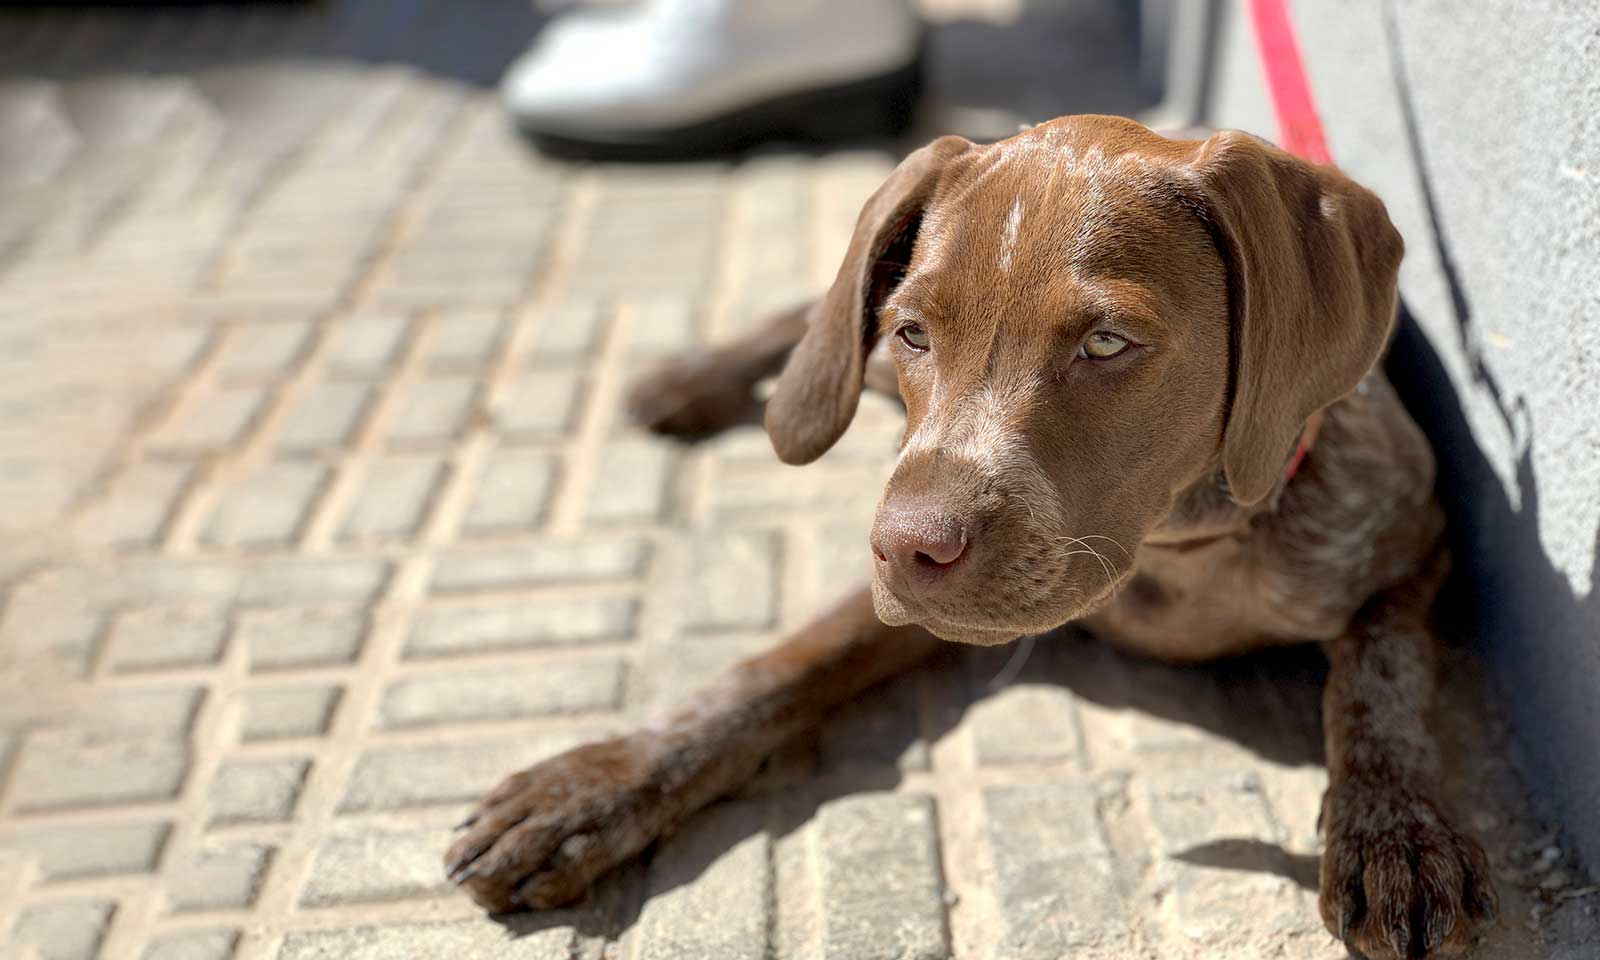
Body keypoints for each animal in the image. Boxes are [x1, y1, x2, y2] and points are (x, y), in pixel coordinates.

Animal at [444, 116, 1491, 953]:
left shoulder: (1417, 543)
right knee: (813, 326)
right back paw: (693, 379)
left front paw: (1396, 830)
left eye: (1106, 343)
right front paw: (596, 783)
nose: (905, 551)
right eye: (915, 334)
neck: (1177, 550)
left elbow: (1377, 678)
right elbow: (774, 669)